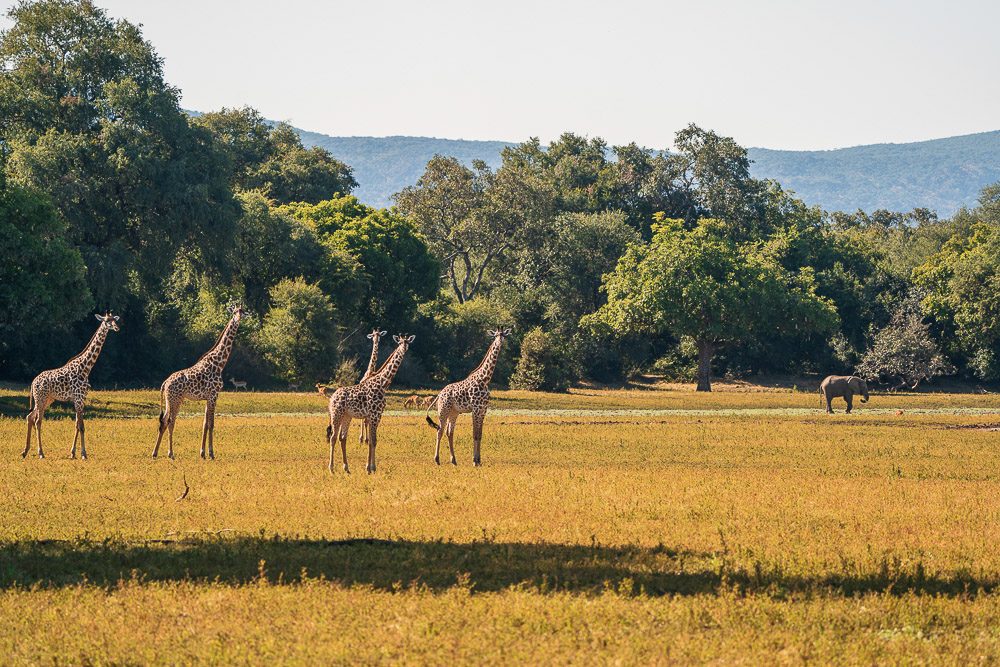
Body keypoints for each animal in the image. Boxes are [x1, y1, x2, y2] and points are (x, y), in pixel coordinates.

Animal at [22, 313, 121, 460]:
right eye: (107, 321)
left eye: (114, 319)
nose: (117, 327)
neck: (86, 368)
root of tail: (33, 382)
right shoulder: (78, 399)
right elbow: (82, 426)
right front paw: (84, 454)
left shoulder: (81, 399)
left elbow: (76, 425)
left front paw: (73, 453)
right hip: (40, 398)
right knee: (38, 421)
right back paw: (40, 453)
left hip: (47, 400)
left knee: (30, 417)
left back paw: (25, 451)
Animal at [152, 305, 243, 460]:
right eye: (234, 312)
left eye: (242, 311)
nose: (238, 318)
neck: (219, 363)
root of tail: (165, 383)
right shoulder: (213, 395)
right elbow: (211, 423)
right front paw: (211, 454)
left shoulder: (209, 397)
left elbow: (205, 423)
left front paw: (202, 453)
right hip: (175, 399)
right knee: (170, 421)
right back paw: (171, 453)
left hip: (171, 400)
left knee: (164, 421)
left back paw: (155, 453)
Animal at [326, 334, 414, 474]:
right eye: (400, 342)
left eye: (408, 342)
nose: (404, 348)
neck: (383, 384)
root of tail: (332, 398)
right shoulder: (373, 415)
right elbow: (372, 441)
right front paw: (370, 468)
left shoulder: (377, 415)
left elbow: (374, 441)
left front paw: (371, 467)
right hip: (336, 414)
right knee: (333, 437)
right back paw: (332, 468)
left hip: (347, 416)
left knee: (342, 438)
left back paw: (347, 468)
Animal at [426, 327, 511, 467]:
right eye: (495, 335)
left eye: (504, 335)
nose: (499, 342)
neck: (485, 379)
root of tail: (439, 394)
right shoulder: (475, 409)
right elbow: (474, 434)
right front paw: (475, 461)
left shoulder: (483, 409)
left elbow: (480, 434)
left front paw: (479, 461)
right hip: (443, 410)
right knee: (440, 431)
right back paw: (437, 460)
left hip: (453, 413)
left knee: (449, 432)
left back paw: (454, 460)